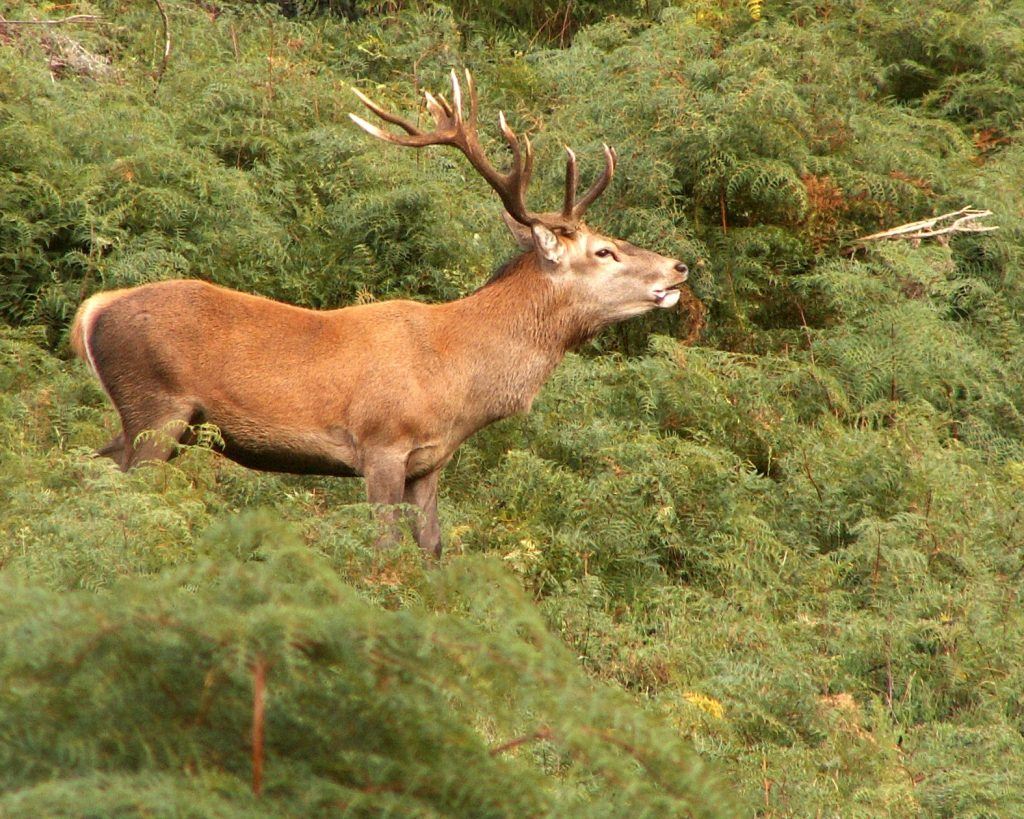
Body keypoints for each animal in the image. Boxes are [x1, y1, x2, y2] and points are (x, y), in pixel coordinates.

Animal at [72, 72, 688, 556]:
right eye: (603, 251)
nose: (679, 267)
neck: (458, 375)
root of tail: (92, 311)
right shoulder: (382, 442)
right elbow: (385, 545)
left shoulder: (430, 461)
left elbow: (433, 546)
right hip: (155, 403)